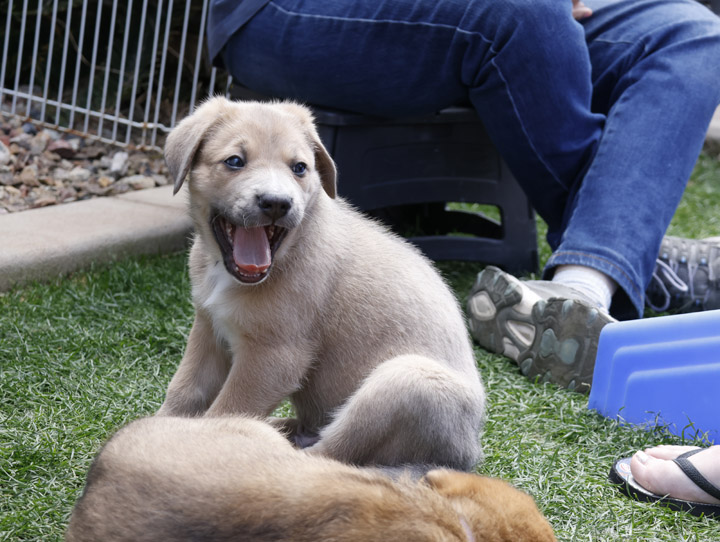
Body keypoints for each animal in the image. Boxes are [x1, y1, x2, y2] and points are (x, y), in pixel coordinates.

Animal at [157, 98, 484, 472]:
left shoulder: (274, 357)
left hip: (402, 383)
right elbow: (184, 391)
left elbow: (226, 410)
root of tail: (469, 451)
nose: (277, 203)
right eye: (235, 161)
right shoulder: (209, 329)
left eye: (300, 168)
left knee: (329, 453)